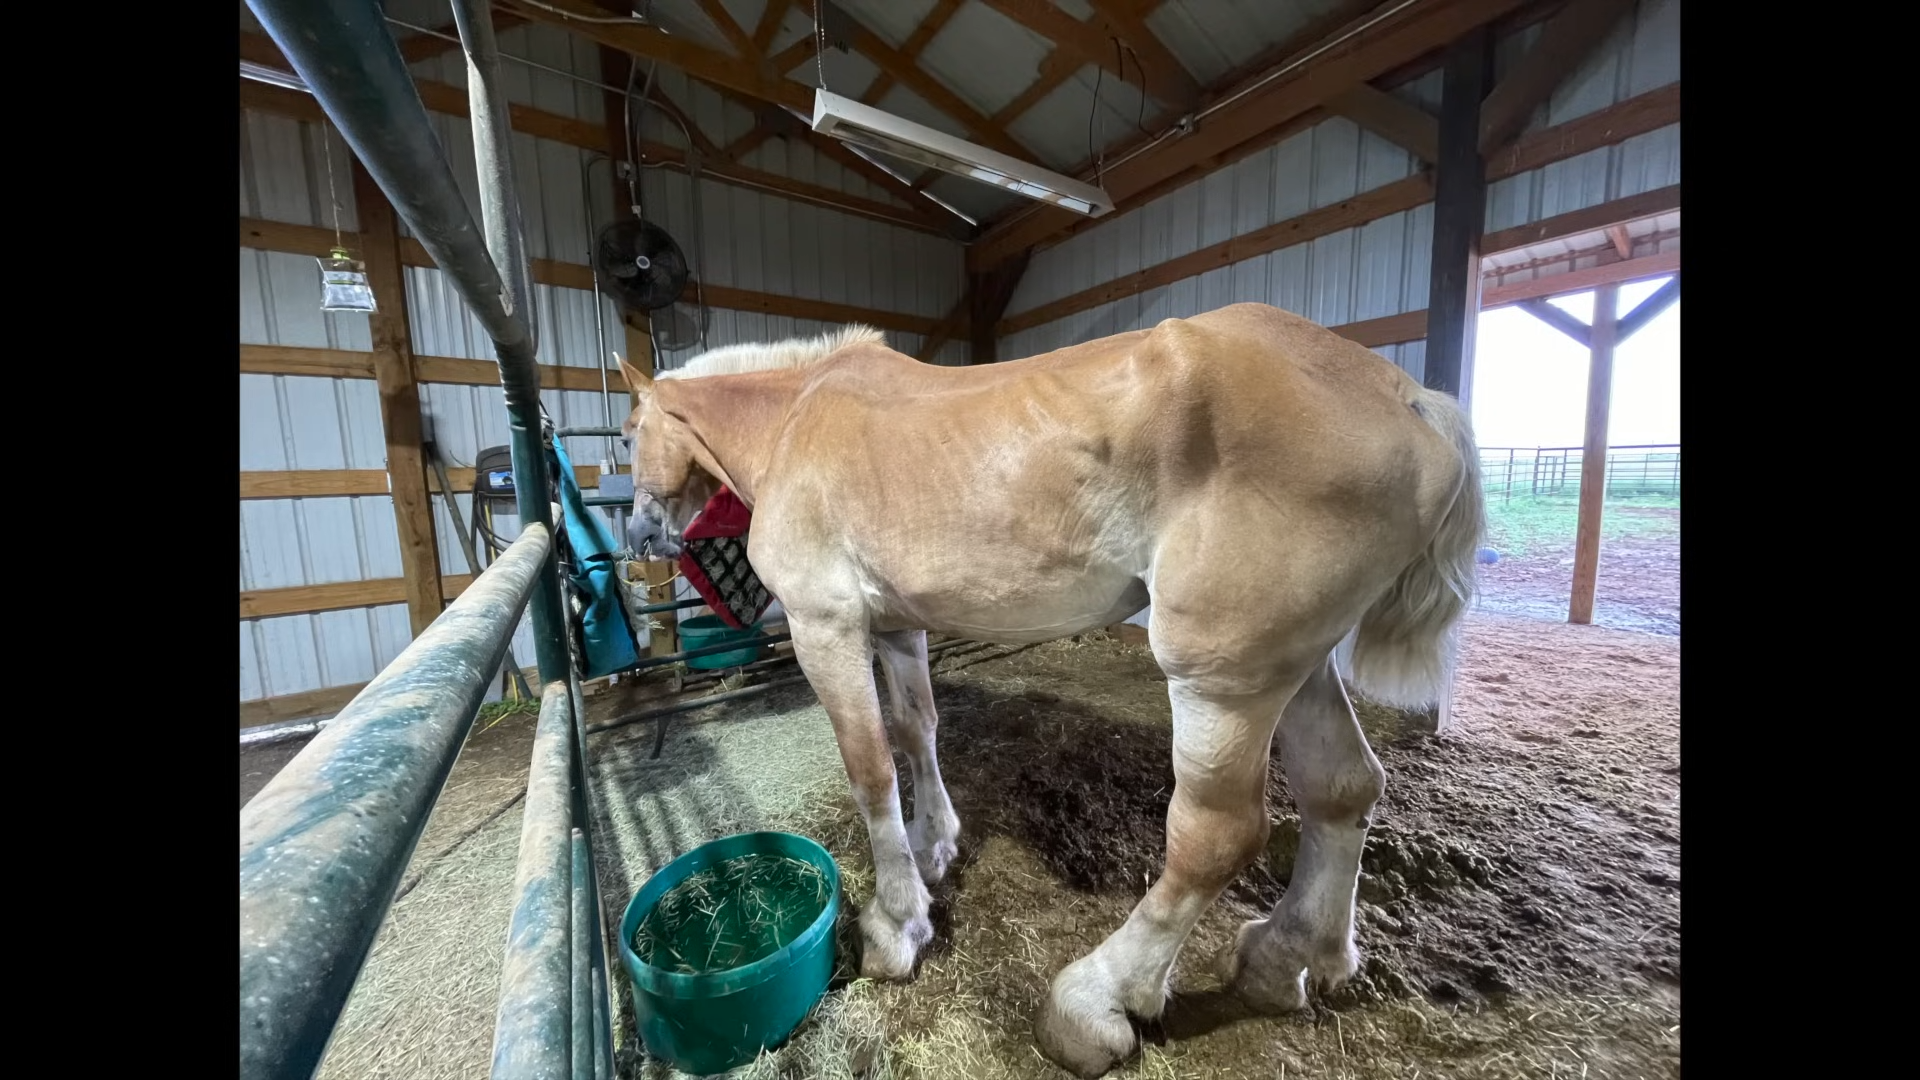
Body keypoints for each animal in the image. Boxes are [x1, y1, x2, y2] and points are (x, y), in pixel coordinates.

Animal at [614, 297, 1482, 1068]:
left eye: (629, 430)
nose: (639, 535)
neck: (797, 417)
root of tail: (1407, 397)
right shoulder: (896, 628)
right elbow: (917, 731)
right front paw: (935, 846)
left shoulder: (824, 627)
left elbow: (870, 770)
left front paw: (896, 926)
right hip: (1298, 667)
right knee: (1343, 789)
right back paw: (1292, 956)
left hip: (1223, 680)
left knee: (1217, 836)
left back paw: (1095, 1003)